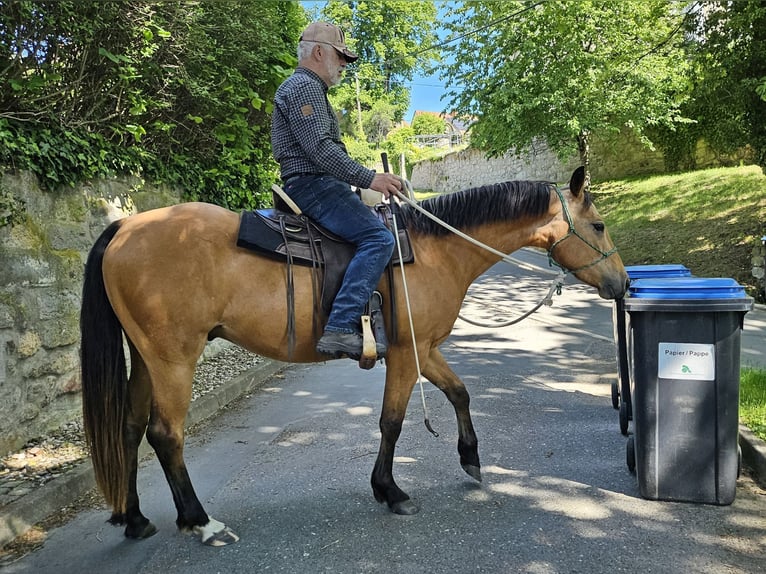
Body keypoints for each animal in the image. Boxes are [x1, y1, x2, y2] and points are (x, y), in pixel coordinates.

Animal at [80, 166, 628, 546]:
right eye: (599, 226)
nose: (622, 284)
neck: (435, 249)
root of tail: (124, 228)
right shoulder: (406, 355)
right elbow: (392, 421)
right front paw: (389, 490)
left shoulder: (424, 349)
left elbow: (459, 392)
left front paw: (470, 458)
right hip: (173, 358)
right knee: (164, 435)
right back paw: (200, 522)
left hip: (145, 358)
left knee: (129, 429)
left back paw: (135, 518)